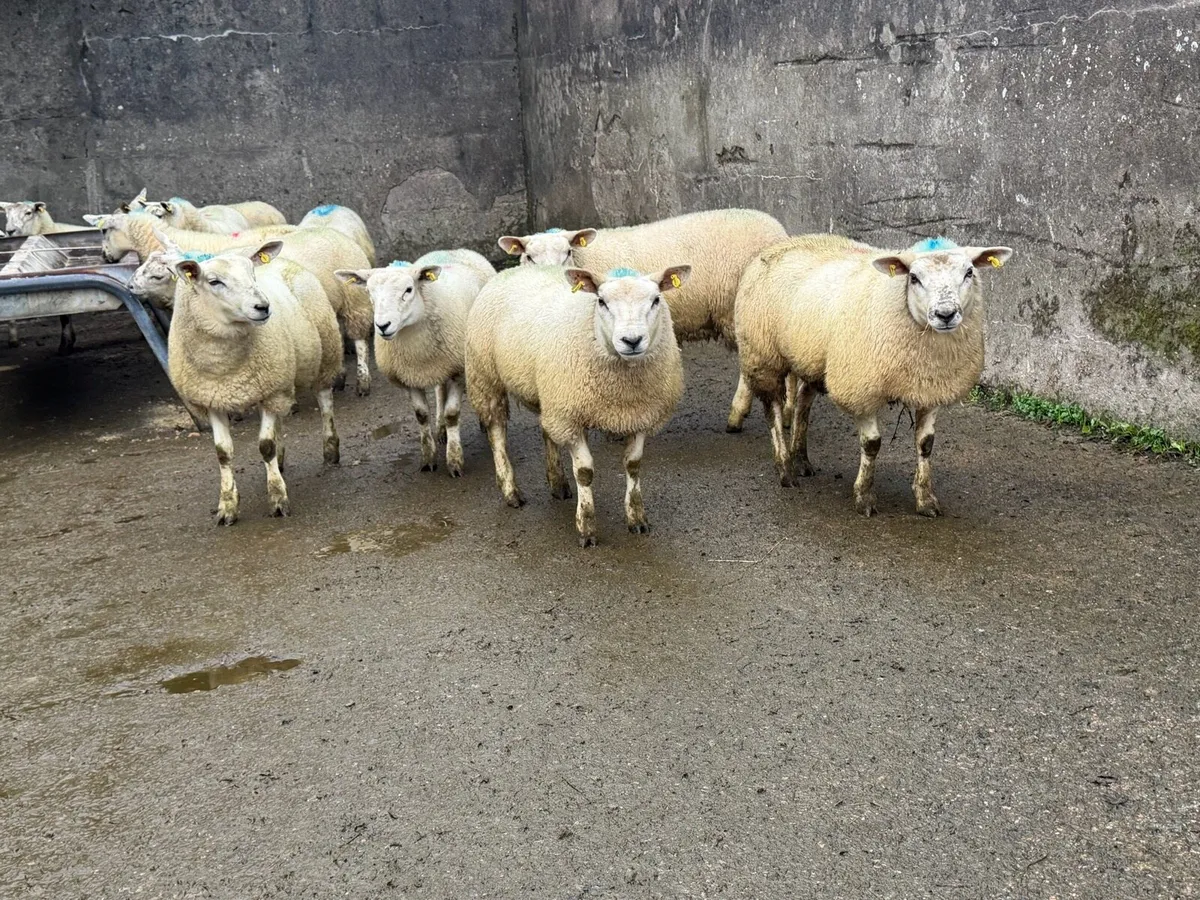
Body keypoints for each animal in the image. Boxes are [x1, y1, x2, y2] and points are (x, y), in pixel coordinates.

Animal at [166, 240, 343, 524]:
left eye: (252, 273)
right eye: (214, 281)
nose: (263, 307)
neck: (225, 369)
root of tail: (285, 260)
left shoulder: (271, 390)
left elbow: (265, 446)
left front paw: (278, 499)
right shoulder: (213, 399)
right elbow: (223, 453)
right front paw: (227, 506)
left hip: (325, 354)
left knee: (325, 402)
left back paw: (330, 451)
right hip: (277, 381)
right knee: (280, 419)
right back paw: (280, 462)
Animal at [335, 249, 495, 476]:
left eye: (408, 290)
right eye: (368, 292)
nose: (383, 326)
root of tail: (452, 250)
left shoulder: (458, 371)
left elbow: (452, 414)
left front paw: (455, 461)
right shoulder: (409, 376)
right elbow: (421, 415)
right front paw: (428, 459)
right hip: (440, 367)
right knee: (440, 391)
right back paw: (441, 429)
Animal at [465, 263, 689, 547]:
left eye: (656, 299)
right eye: (601, 301)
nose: (632, 340)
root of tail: (516, 267)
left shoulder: (640, 415)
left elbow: (633, 465)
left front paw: (637, 518)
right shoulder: (570, 418)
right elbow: (584, 472)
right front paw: (587, 528)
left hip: (548, 394)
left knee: (546, 430)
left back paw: (558, 483)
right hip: (485, 376)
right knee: (497, 433)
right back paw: (510, 491)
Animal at [734, 234, 1013, 517]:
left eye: (969, 272)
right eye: (914, 278)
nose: (945, 315)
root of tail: (785, 243)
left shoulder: (931, 387)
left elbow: (926, 444)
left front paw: (926, 500)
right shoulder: (860, 388)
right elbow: (872, 444)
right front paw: (864, 497)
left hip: (810, 358)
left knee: (803, 403)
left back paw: (801, 459)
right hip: (762, 353)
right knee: (774, 410)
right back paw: (785, 469)